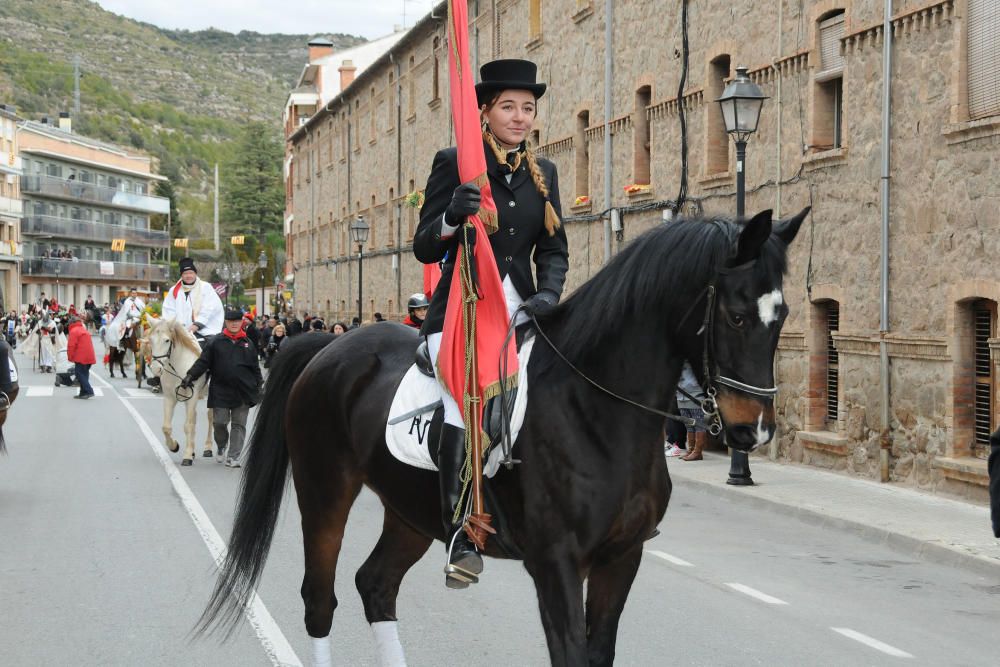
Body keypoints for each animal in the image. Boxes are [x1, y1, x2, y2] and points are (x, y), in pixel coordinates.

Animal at [144, 318, 214, 464]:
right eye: (151, 340)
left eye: (167, 340)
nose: (156, 368)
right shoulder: (169, 397)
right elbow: (166, 427)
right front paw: (174, 446)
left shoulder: (192, 397)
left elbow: (188, 425)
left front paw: (187, 456)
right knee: (195, 418)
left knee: (210, 417)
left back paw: (208, 448)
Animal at [199, 207, 808, 664]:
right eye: (735, 315)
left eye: (782, 316)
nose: (753, 430)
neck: (595, 412)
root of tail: (328, 346)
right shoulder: (555, 564)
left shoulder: (621, 559)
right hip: (324, 492)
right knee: (319, 600)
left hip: (411, 512)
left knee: (376, 585)